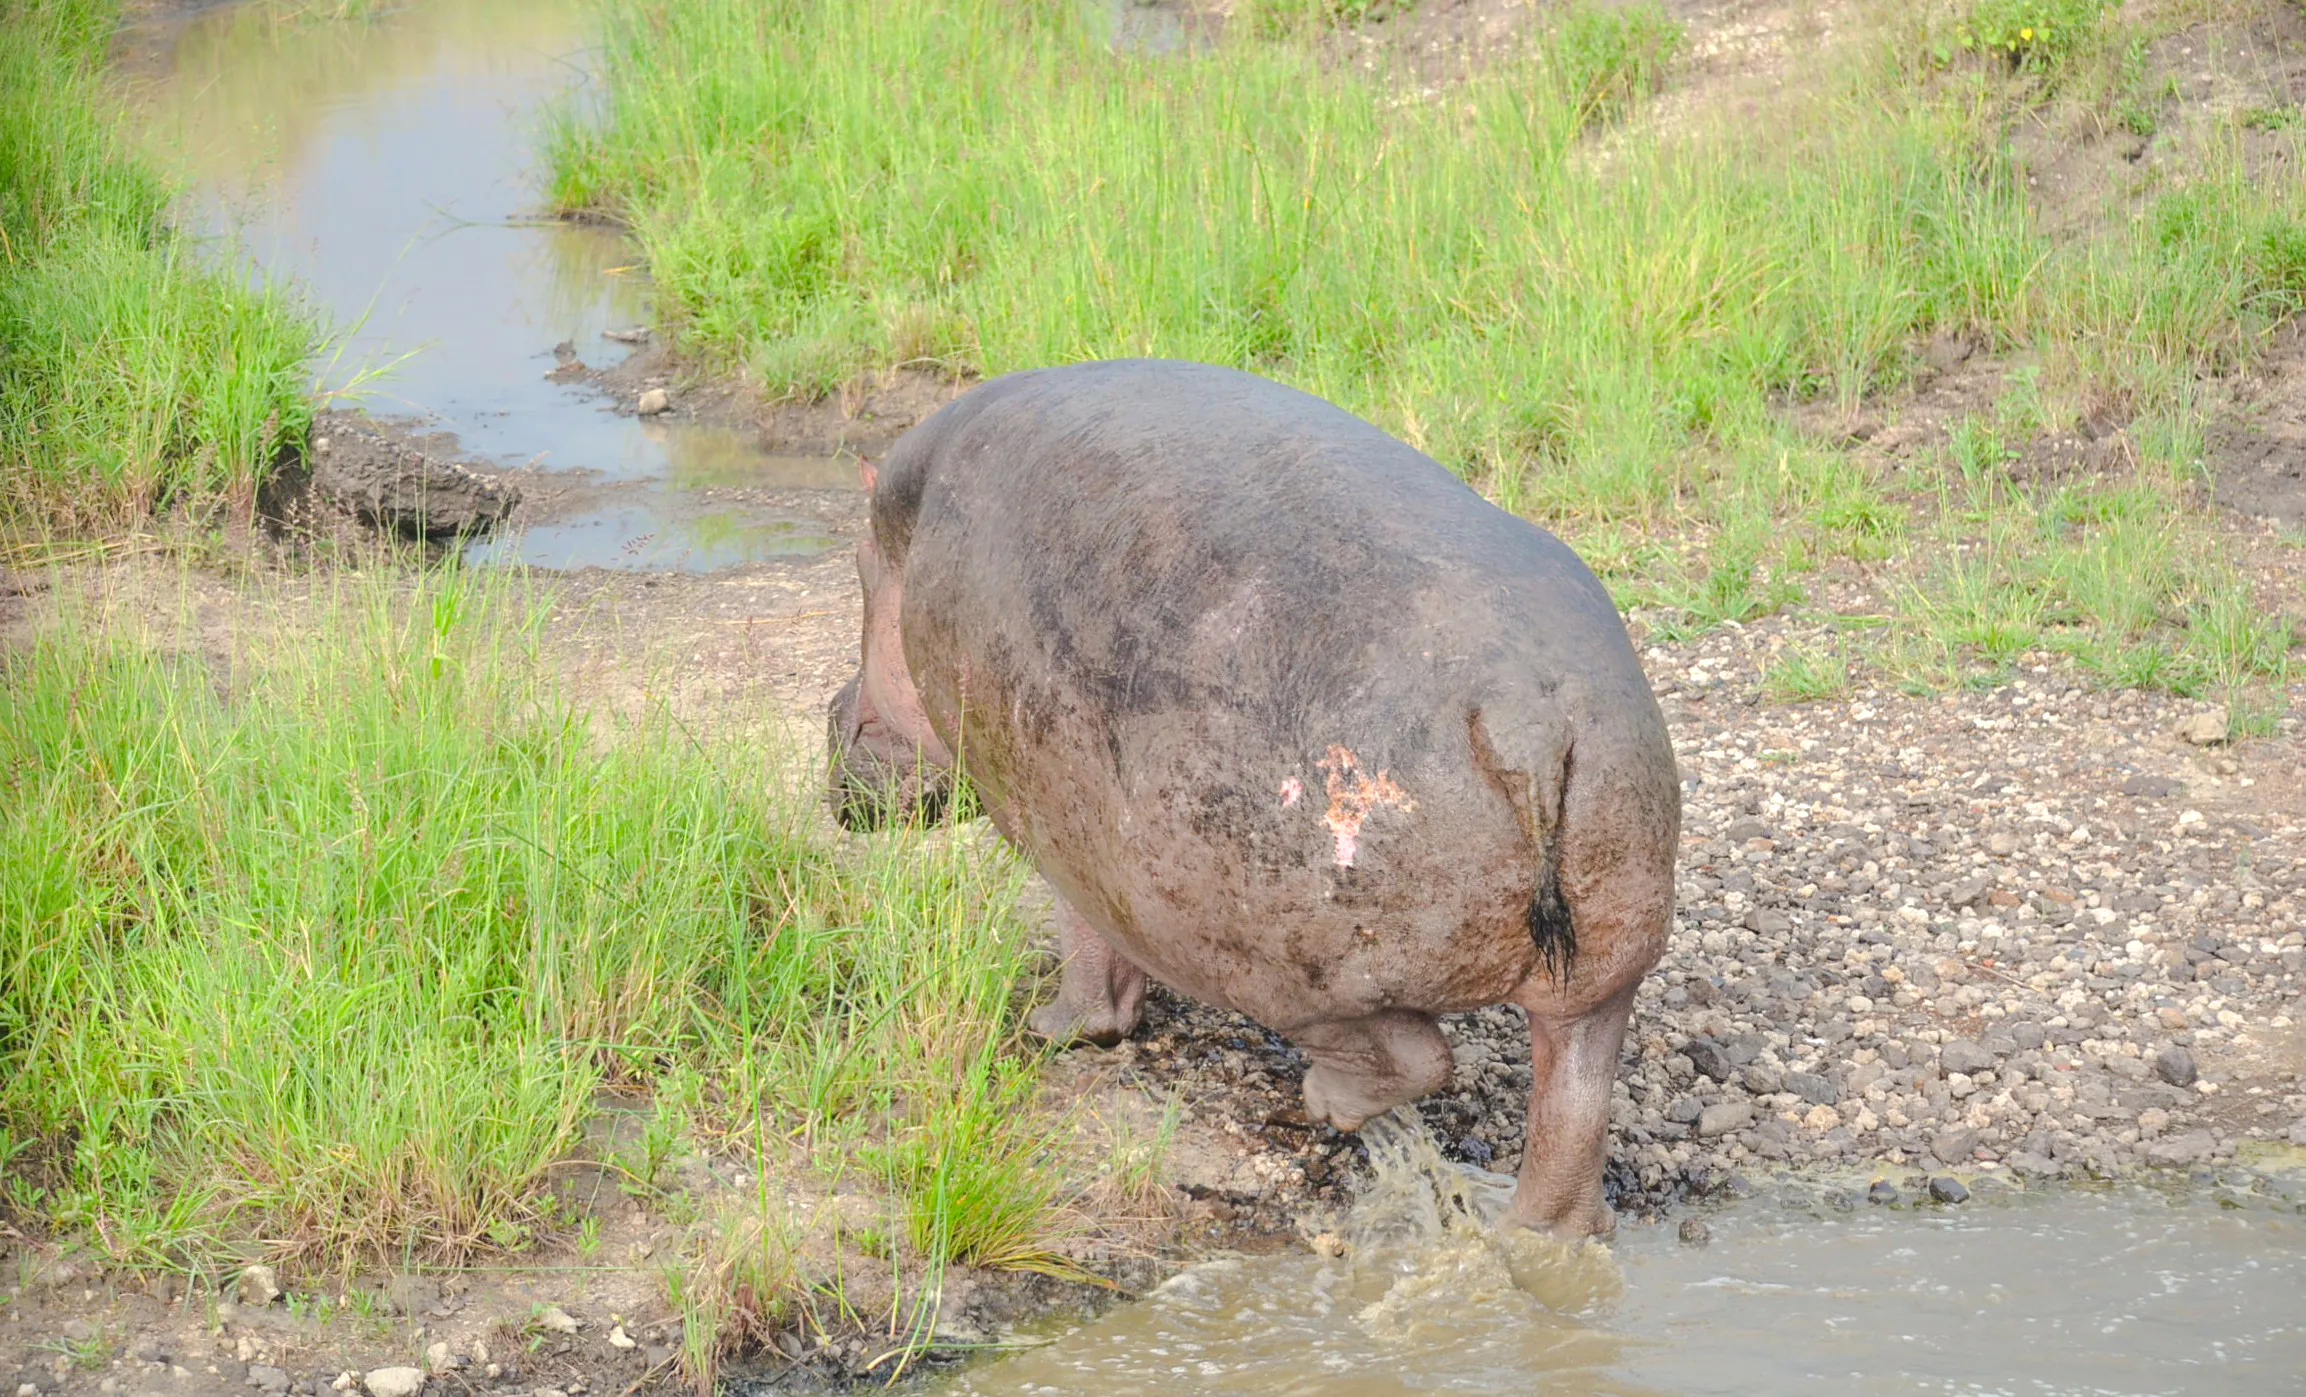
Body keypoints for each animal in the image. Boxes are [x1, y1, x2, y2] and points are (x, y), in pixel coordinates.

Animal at [825, 360, 1679, 1235]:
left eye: (855, 572)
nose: (831, 716)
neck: (906, 530)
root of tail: (1523, 713)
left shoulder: (1046, 821)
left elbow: (1086, 946)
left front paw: (1054, 1030)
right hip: (1605, 960)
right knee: (1570, 1107)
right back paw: (1542, 1234)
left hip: (1283, 960)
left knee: (1410, 1054)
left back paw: (1325, 1104)